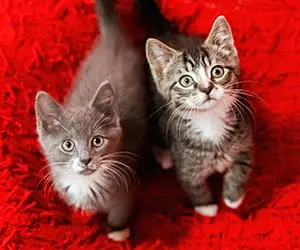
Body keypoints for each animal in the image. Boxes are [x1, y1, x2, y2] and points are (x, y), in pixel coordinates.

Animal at [35, 0, 148, 242]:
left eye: (97, 141)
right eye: (68, 145)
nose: (85, 160)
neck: (85, 183)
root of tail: (112, 40)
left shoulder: (125, 185)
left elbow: (121, 208)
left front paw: (117, 231)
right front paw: (85, 213)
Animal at [138, 0, 253, 217]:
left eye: (217, 71)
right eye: (186, 81)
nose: (207, 88)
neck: (210, 120)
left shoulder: (245, 141)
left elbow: (241, 167)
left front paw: (233, 197)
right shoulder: (185, 164)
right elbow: (192, 184)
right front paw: (206, 206)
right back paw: (164, 155)